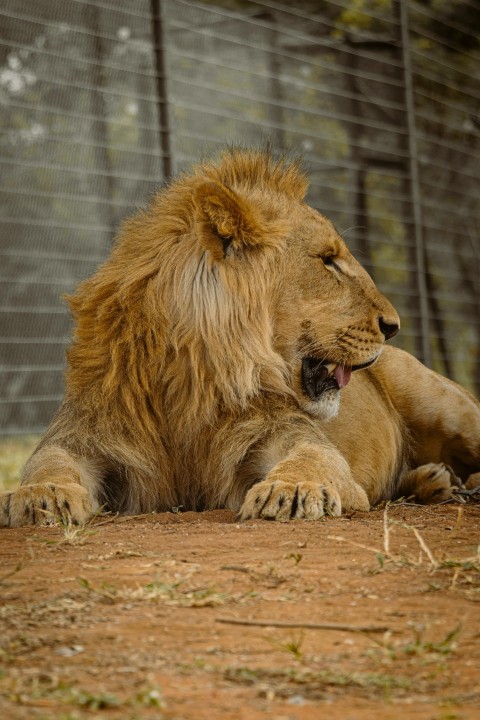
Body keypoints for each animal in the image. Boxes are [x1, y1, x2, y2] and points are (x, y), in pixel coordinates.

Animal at [1, 148, 478, 528]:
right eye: (328, 261)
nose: (393, 325)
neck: (192, 378)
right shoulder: (85, 433)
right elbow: (48, 461)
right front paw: (39, 497)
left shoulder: (288, 434)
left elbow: (314, 456)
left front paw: (294, 490)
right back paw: (433, 481)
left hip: (444, 403)